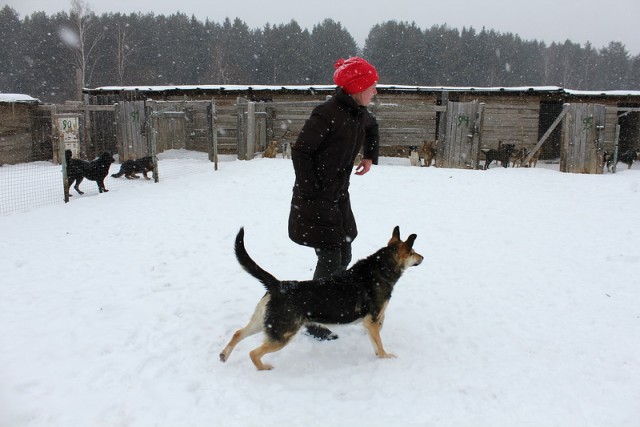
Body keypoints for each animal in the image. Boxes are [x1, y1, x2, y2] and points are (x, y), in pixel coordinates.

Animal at [220, 227, 424, 372]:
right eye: (413, 251)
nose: (423, 257)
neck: (382, 268)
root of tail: (278, 285)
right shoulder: (372, 321)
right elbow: (379, 344)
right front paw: (385, 357)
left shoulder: (373, 322)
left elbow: (376, 341)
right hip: (283, 334)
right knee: (253, 353)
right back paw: (263, 368)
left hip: (264, 324)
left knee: (238, 333)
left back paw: (223, 355)